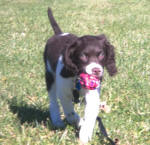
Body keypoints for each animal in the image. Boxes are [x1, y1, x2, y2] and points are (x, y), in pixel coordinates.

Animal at [43, 7, 117, 143]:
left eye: (101, 54)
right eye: (83, 56)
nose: (96, 71)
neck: (77, 77)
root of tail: (59, 34)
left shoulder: (93, 95)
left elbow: (90, 115)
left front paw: (85, 134)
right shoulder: (64, 91)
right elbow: (69, 112)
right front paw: (78, 121)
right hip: (49, 75)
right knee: (53, 100)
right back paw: (57, 120)